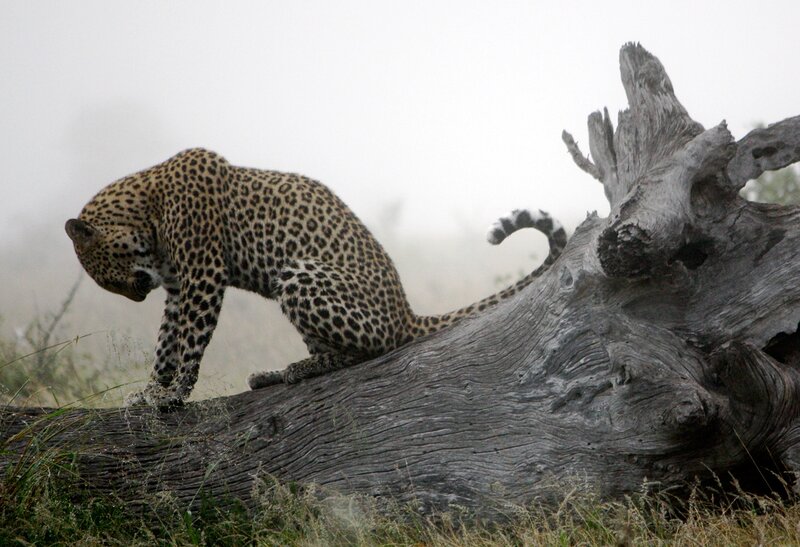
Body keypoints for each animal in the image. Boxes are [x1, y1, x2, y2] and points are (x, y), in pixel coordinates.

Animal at [65, 148, 567, 407]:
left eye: (107, 278)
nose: (136, 297)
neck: (145, 207)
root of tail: (407, 312)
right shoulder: (176, 286)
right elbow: (166, 343)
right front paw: (151, 391)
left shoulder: (203, 276)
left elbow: (189, 342)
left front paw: (171, 398)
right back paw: (274, 374)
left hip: (298, 274)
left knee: (371, 350)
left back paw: (297, 369)